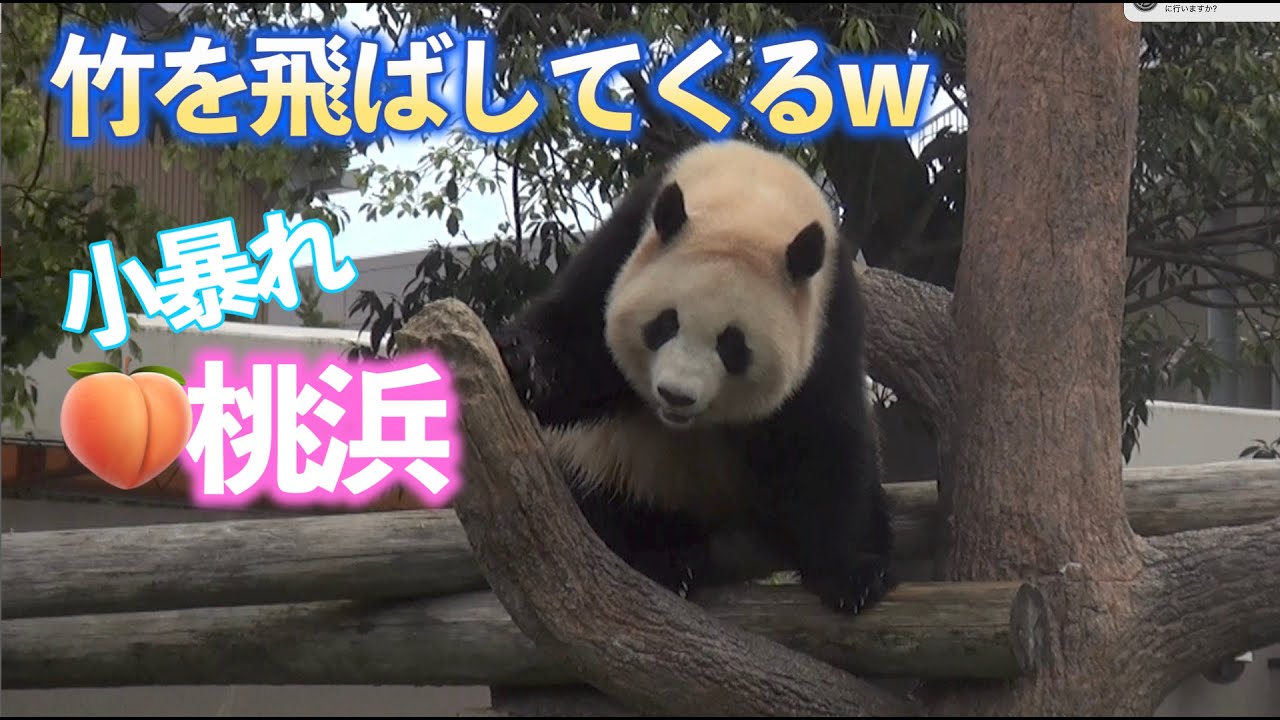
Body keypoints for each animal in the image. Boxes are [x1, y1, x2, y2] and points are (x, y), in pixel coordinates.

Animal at [492, 138, 896, 616]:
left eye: (733, 346)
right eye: (665, 324)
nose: (675, 395)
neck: (751, 200)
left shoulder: (829, 312)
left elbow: (823, 436)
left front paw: (853, 574)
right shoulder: (627, 241)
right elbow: (579, 336)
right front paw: (521, 363)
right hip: (614, 464)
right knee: (608, 505)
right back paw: (665, 560)